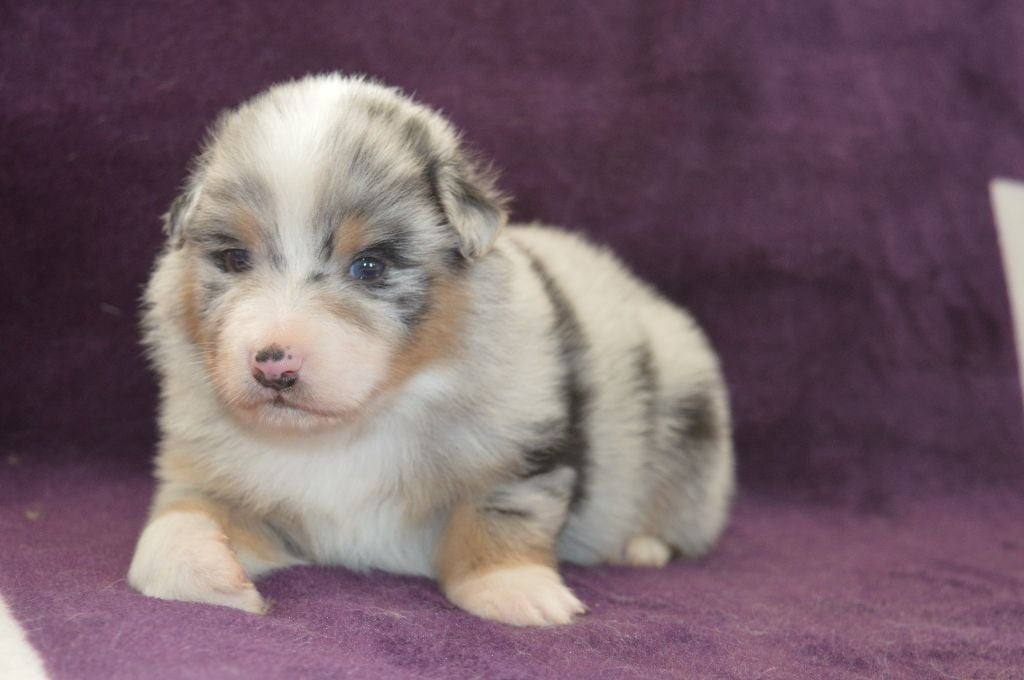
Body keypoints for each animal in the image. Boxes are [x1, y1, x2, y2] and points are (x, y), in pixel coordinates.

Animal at [127, 73, 735, 626]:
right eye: (234, 259)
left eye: (370, 265)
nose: (273, 365)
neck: (349, 430)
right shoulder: (212, 474)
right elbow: (174, 524)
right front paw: (204, 573)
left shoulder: (520, 445)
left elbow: (498, 512)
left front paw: (517, 590)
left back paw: (642, 546)